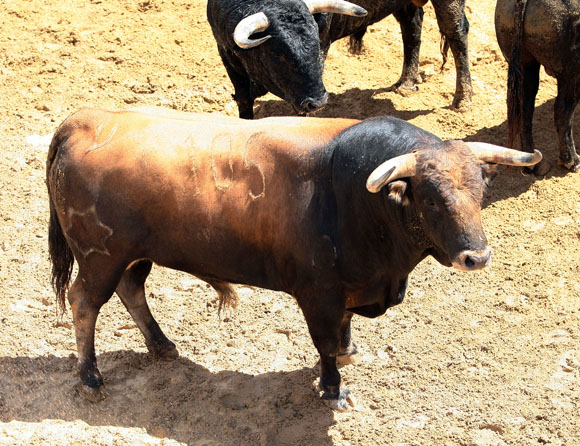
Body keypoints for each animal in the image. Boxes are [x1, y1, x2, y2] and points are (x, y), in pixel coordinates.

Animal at [47, 108, 540, 412]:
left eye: (481, 189)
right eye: (432, 200)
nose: (477, 256)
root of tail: (85, 120)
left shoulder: (348, 289)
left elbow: (343, 331)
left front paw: (349, 352)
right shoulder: (318, 295)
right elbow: (324, 343)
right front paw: (333, 388)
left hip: (133, 255)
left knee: (132, 290)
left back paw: (161, 344)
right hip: (100, 257)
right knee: (85, 303)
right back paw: (90, 378)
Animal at [207, 0, 472, 119]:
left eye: (315, 44)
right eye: (277, 54)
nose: (318, 101)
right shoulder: (226, 53)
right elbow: (243, 99)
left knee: (457, 33)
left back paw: (462, 99)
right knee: (411, 26)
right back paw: (406, 82)